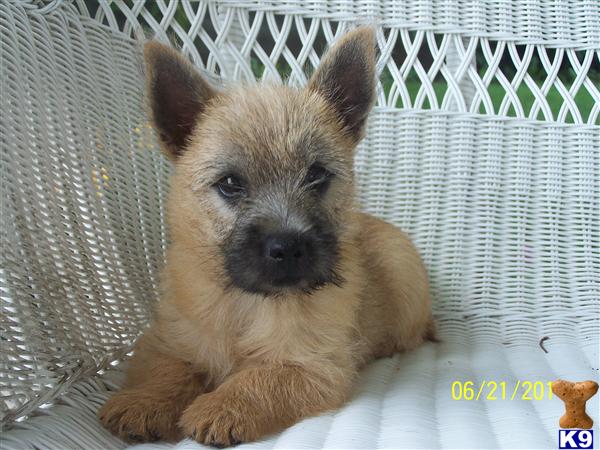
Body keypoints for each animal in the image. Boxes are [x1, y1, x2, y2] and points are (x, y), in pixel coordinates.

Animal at [99, 27, 436, 446]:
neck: (247, 303)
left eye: (317, 174)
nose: (288, 247)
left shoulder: (313, 366)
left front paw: (222, 407)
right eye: (230, 184)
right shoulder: (166, 340)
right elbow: (170, 368)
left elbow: (262, 378)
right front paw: (143, 400)